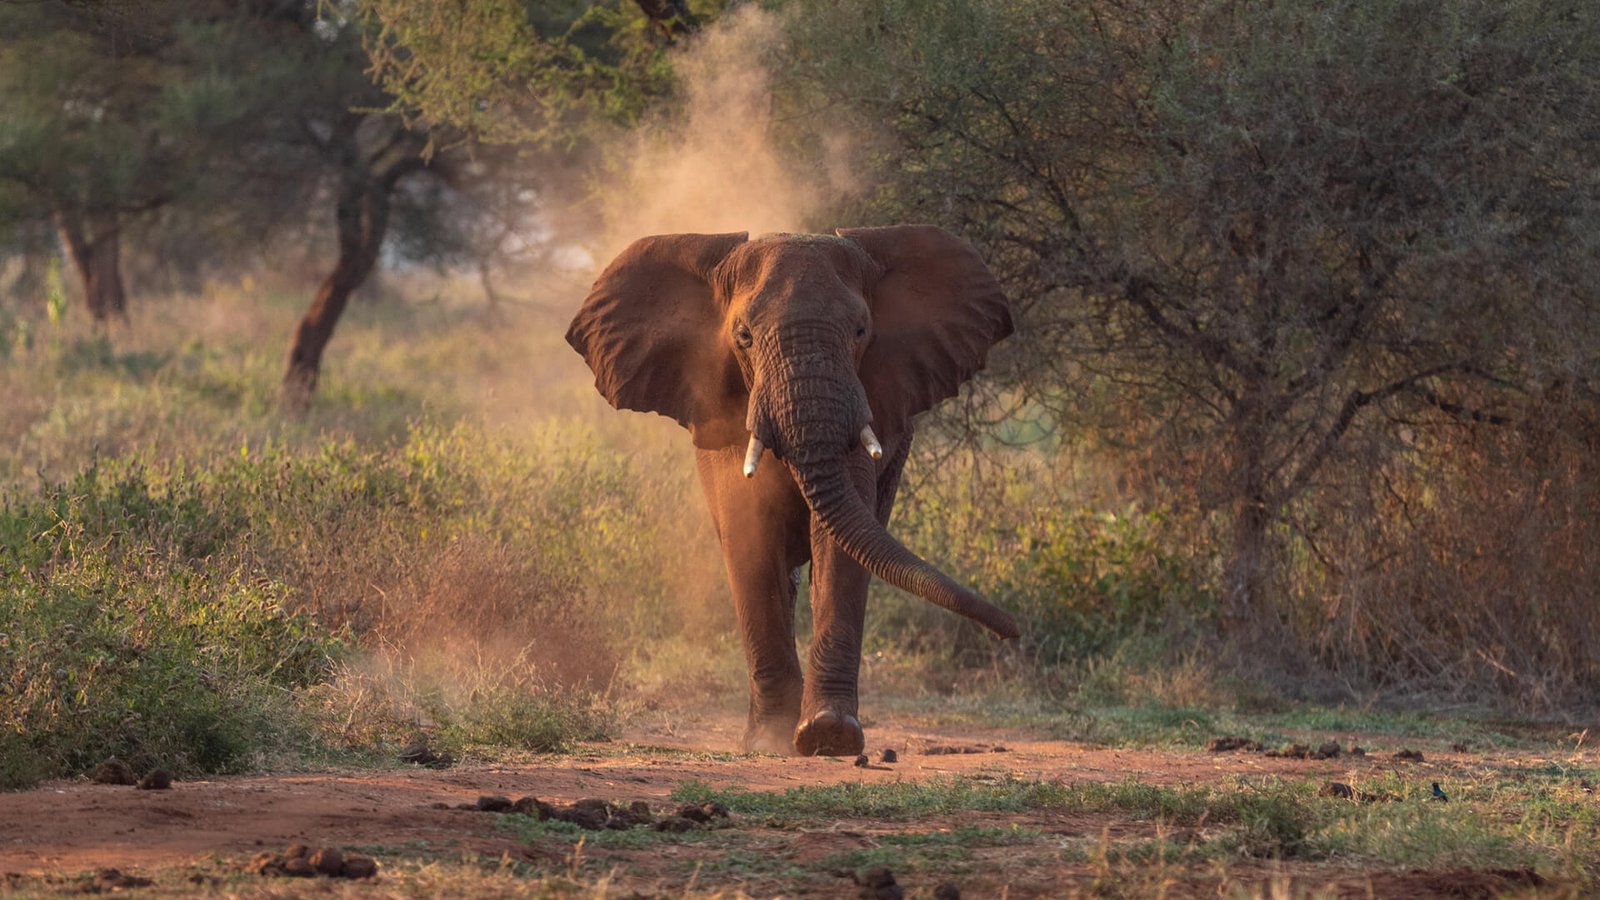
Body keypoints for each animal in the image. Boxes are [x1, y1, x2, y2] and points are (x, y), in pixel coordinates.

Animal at [566, 225, 1019, 757]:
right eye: (743, 336)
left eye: (861, 331)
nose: (1013, 631)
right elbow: (750, 538)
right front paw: (770, 740)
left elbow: (840, 548)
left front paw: (829, 734)